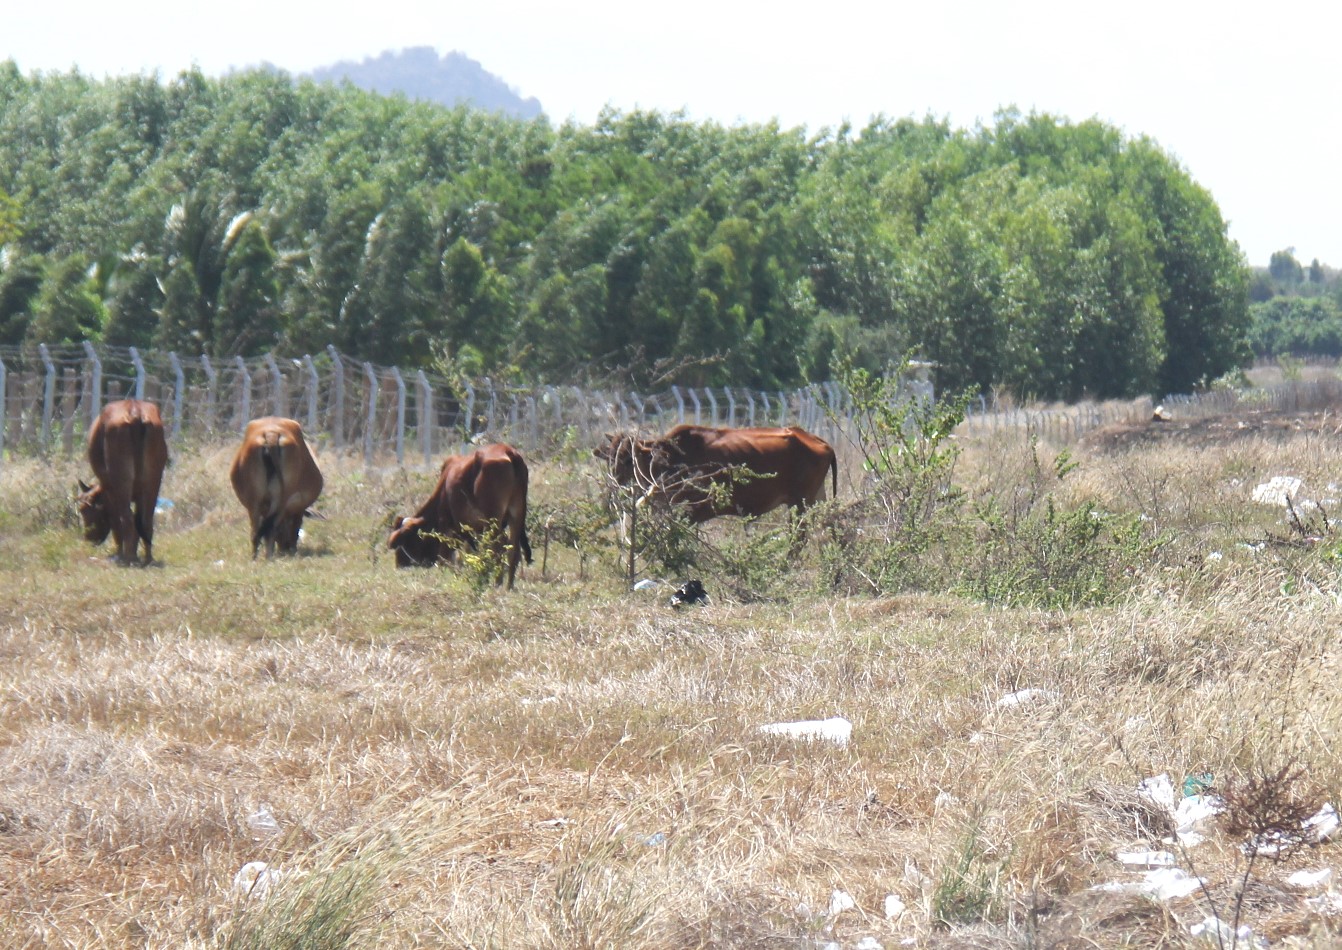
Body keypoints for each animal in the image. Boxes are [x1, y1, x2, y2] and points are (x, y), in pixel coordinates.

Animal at [229, 415, 323, 555]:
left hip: (254, 502)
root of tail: (271, 433)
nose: (285, 547)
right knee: (271, 528)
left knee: (256, 533)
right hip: (281, 498)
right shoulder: (298, 509)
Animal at [386, 442, 531, 585]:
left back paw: (497, 583)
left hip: (492, 519)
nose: (398, 564)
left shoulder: (446, 527)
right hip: (516, 515)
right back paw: (508, 586)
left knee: (498, 548)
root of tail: (509, 451)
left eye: (404, 541)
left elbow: (444, 559)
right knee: (513, 551)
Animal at [593, 426, 832, 523]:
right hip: (815, 499)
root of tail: (818, 441)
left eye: (628, 459)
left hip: (800, 503)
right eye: (610, 457)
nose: (615, 480)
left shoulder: (692, 509)